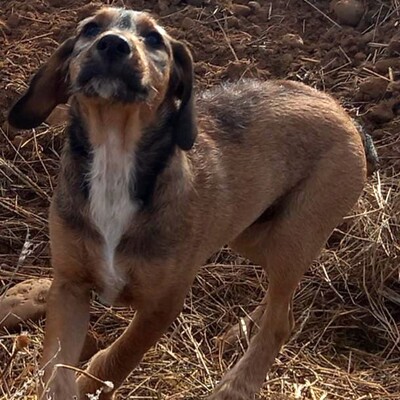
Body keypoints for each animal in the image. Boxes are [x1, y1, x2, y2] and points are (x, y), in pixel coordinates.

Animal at [7, 6, 376, 400]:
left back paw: (237, 384)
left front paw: (95, 380)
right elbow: (56, 370)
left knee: (282, 321)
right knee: (281, 299)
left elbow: (120, 357)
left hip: (293, 236)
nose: (112, 45)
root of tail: (343, 111)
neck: (115, 156)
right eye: (90, 29)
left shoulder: (163, 304)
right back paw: (241, 330)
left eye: (154, 39)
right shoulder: (69, 287)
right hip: (253, 234)